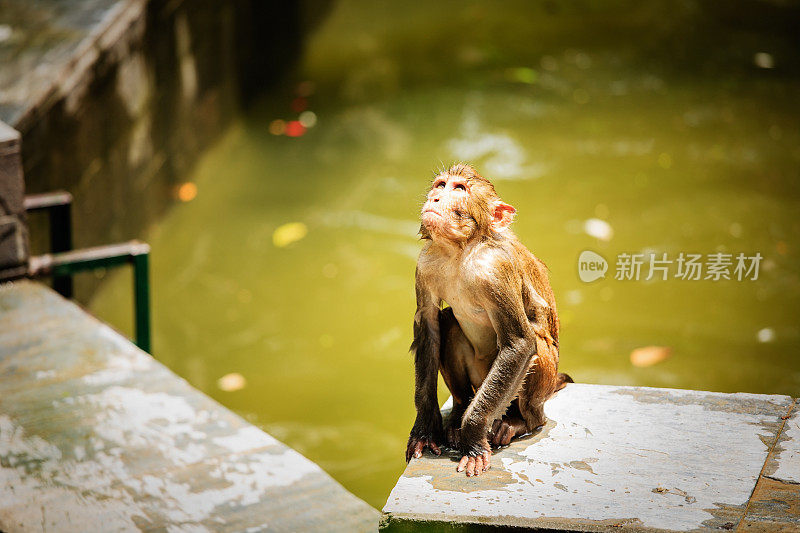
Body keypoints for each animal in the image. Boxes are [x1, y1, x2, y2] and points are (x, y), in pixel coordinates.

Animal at [406, 161, 568, 474]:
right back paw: (459, 411)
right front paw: (425, 428)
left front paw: (473, 439)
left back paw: (519, 423)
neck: (461, 251)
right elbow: (429, 328)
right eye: (441, 185)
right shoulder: (426, 263)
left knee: (535, 349)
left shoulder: (495, 269)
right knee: (448, 323)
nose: (435, 198)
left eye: (459, 189)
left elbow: (519, 343)